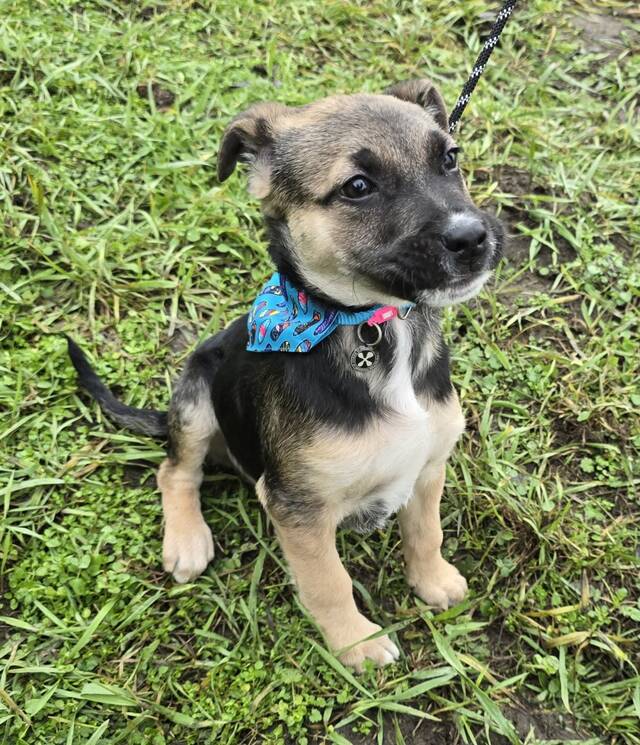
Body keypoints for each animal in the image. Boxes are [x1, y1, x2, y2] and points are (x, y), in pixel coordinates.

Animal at [68, 78, 504, 671]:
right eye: (358, 187)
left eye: (450, 159)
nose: (474, 238)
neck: (375, 328)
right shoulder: (297, 508)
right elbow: (328, 582)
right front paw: (356, 643)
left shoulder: (429, 465)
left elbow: (426, 532)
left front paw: (434, 582)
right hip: (198, 391)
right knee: (175, 470)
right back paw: (187, 540)